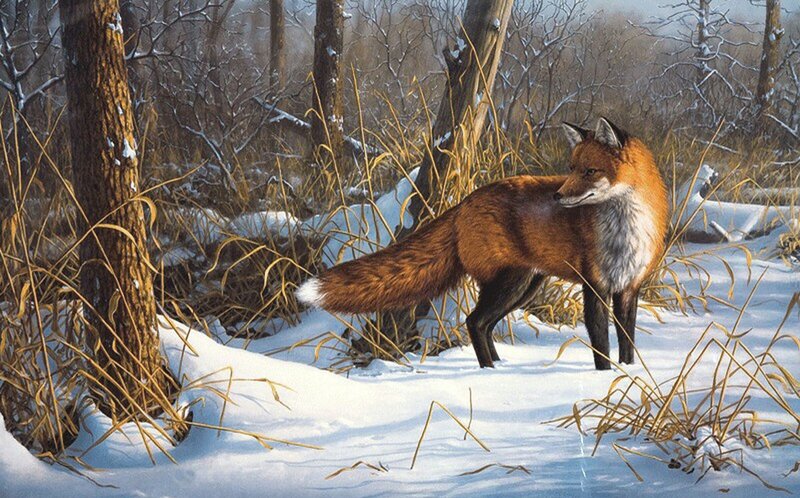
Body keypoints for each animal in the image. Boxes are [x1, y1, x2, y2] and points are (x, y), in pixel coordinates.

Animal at [297, 117, 669, 370]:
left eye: (590, 171)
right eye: (572, 168)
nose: (558, 196)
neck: (626, 230)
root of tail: (465, 201)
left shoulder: (629, 288)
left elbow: (627, 341)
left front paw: (629, 373)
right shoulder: (594, 286)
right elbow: (601, 344)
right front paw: (606, 377)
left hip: (525, 286)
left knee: (484, 324)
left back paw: (499, 366)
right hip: (509, 282)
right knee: (474, 322)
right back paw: (489, 371)